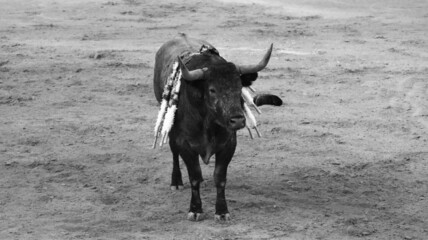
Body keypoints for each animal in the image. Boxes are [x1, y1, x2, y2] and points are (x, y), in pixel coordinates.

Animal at [153, 35, 280, 221]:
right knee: (173, 151)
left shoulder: (228, 145)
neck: (208, 122)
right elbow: (194, 177)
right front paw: (195, 210)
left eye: (239, 88)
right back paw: (176, 182)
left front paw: (221, 211)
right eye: (212, 90)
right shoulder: (185, 144)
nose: (238, 120)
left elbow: (219, 178)